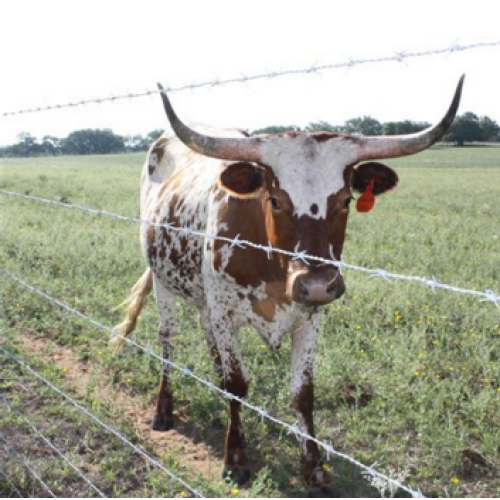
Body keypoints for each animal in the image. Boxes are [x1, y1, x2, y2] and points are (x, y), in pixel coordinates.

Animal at [114, 77, 464, 496]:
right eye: (276, 199)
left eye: (346, 200)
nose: (316, 285)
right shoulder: (226, 311)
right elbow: (237, 382)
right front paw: (235, 459)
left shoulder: (309, 318)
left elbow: (302, 392)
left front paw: (314, 467)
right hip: (164, 282)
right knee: (169, 339)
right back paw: (164, 409)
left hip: (204, 298)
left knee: (206, 335)